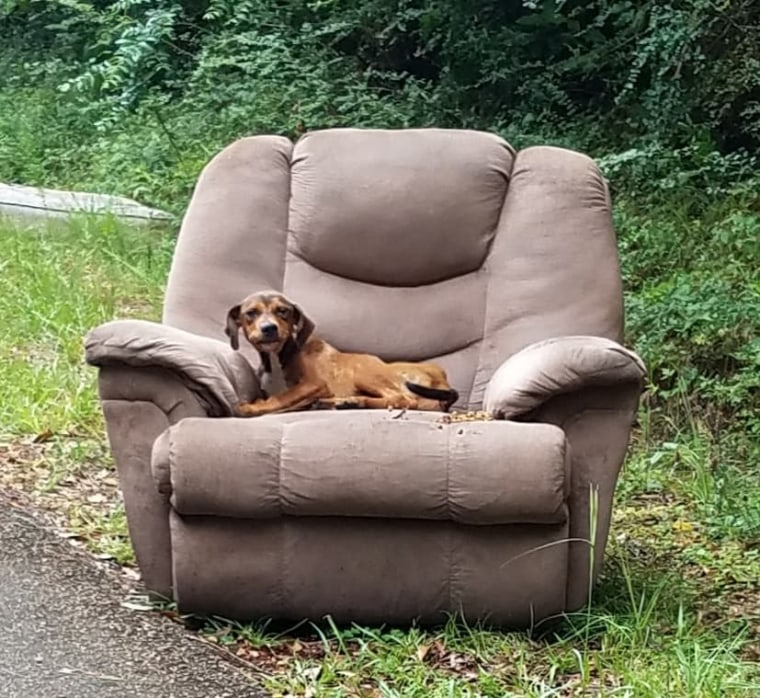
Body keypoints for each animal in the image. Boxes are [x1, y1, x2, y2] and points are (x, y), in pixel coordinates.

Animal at [223, 290, 460, 416]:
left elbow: (282, 397)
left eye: (283, 311)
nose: (269, 328)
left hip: (363, 371)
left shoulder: (315, 384)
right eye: (251, 313)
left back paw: (351, 402)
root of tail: (442, 379)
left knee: (402, 399)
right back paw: (344, 402)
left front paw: (252, 407)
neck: (278, 356)